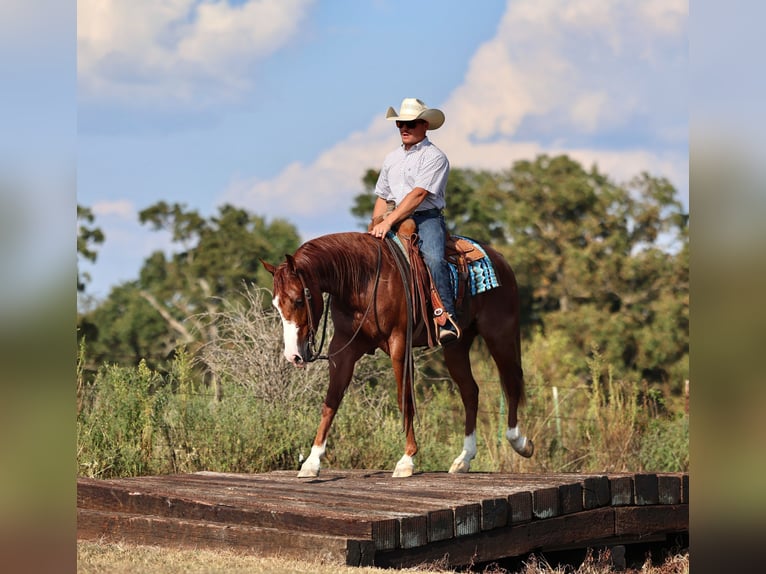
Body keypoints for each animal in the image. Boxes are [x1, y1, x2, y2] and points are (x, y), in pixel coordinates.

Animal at [262, 231, 534, 478]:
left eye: (298, 300)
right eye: (276, 304)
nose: (293, 356)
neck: (363, 280)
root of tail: (500, 259)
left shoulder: (399, 344)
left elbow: (405, 398)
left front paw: (406, 460)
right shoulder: (344, 349)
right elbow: (331, 401)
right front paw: (311, 462)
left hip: (499, 335)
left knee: (511, 383)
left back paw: (520, 442)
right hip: (457, 345)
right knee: (470, 392)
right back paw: (463, 459)